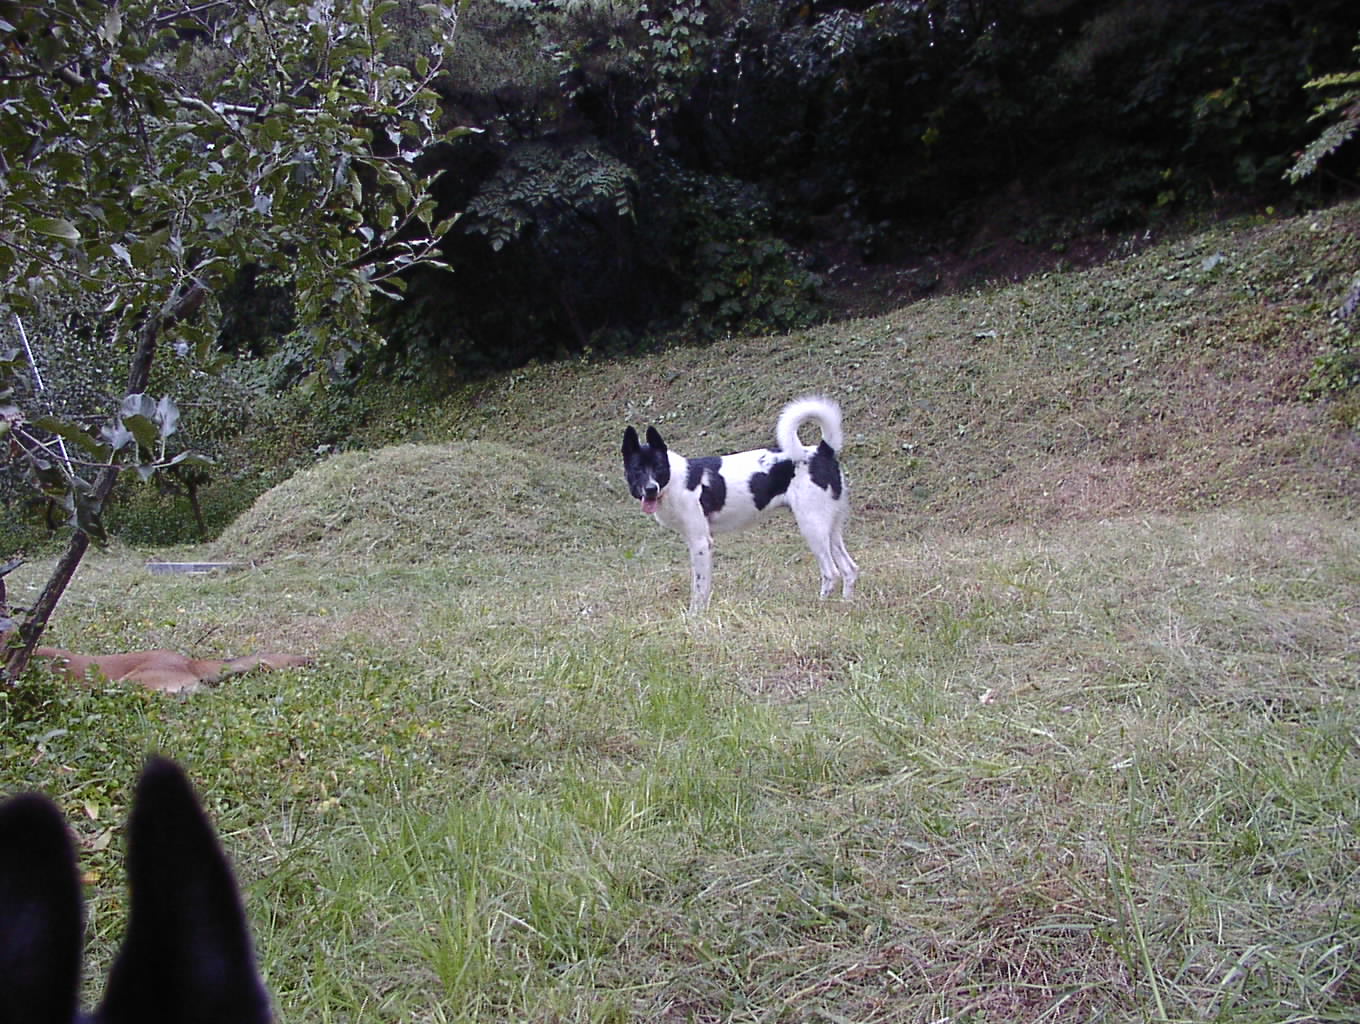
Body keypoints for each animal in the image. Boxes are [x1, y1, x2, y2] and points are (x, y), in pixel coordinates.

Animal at [621, 396, 859, 613]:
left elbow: (699, 588)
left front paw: (695, 617)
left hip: (812, 528)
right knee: (849, 569)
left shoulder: (701, 543)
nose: (650, 489)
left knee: (831, 572)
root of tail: (823, 450)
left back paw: (821, 606)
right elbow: (704, 586)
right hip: (830, 529)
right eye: (637, 469)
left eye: (659, 467)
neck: (674, 480)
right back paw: (846, 604)